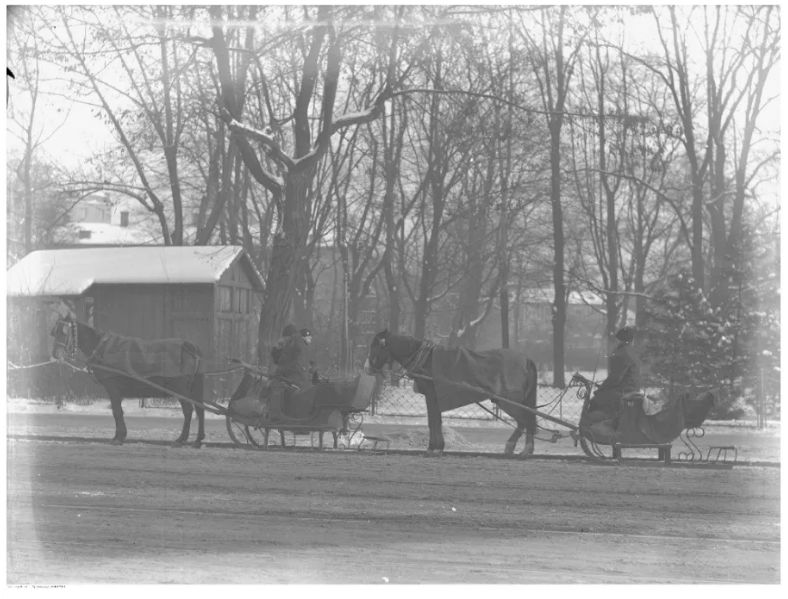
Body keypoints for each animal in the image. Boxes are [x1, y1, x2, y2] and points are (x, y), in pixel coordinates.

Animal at [50, 316, 205, 448]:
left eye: (64, 332)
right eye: (54, 332)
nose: (56, 355)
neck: (101, 348)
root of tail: (190, 347)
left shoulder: (113, 388)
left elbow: (117, 412)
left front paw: (119, 438)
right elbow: (117, 412)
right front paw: (118, 436)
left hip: (180, 389)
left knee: (188, 410)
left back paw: (181, 439)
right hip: (194, 388)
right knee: (200, 409)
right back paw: (198, 440)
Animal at [366, 330, 540, 458]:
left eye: (376, 346)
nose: (368, 368)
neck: (425, 360)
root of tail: (527, 359)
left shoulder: (432, 396)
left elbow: (433, 422)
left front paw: (434, 448)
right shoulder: (434, 397)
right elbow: (436, 421)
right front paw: (437, 447)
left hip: (508, 401)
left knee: (525, 421)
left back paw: (518, 447)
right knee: (527, 420)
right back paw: (524, 449)